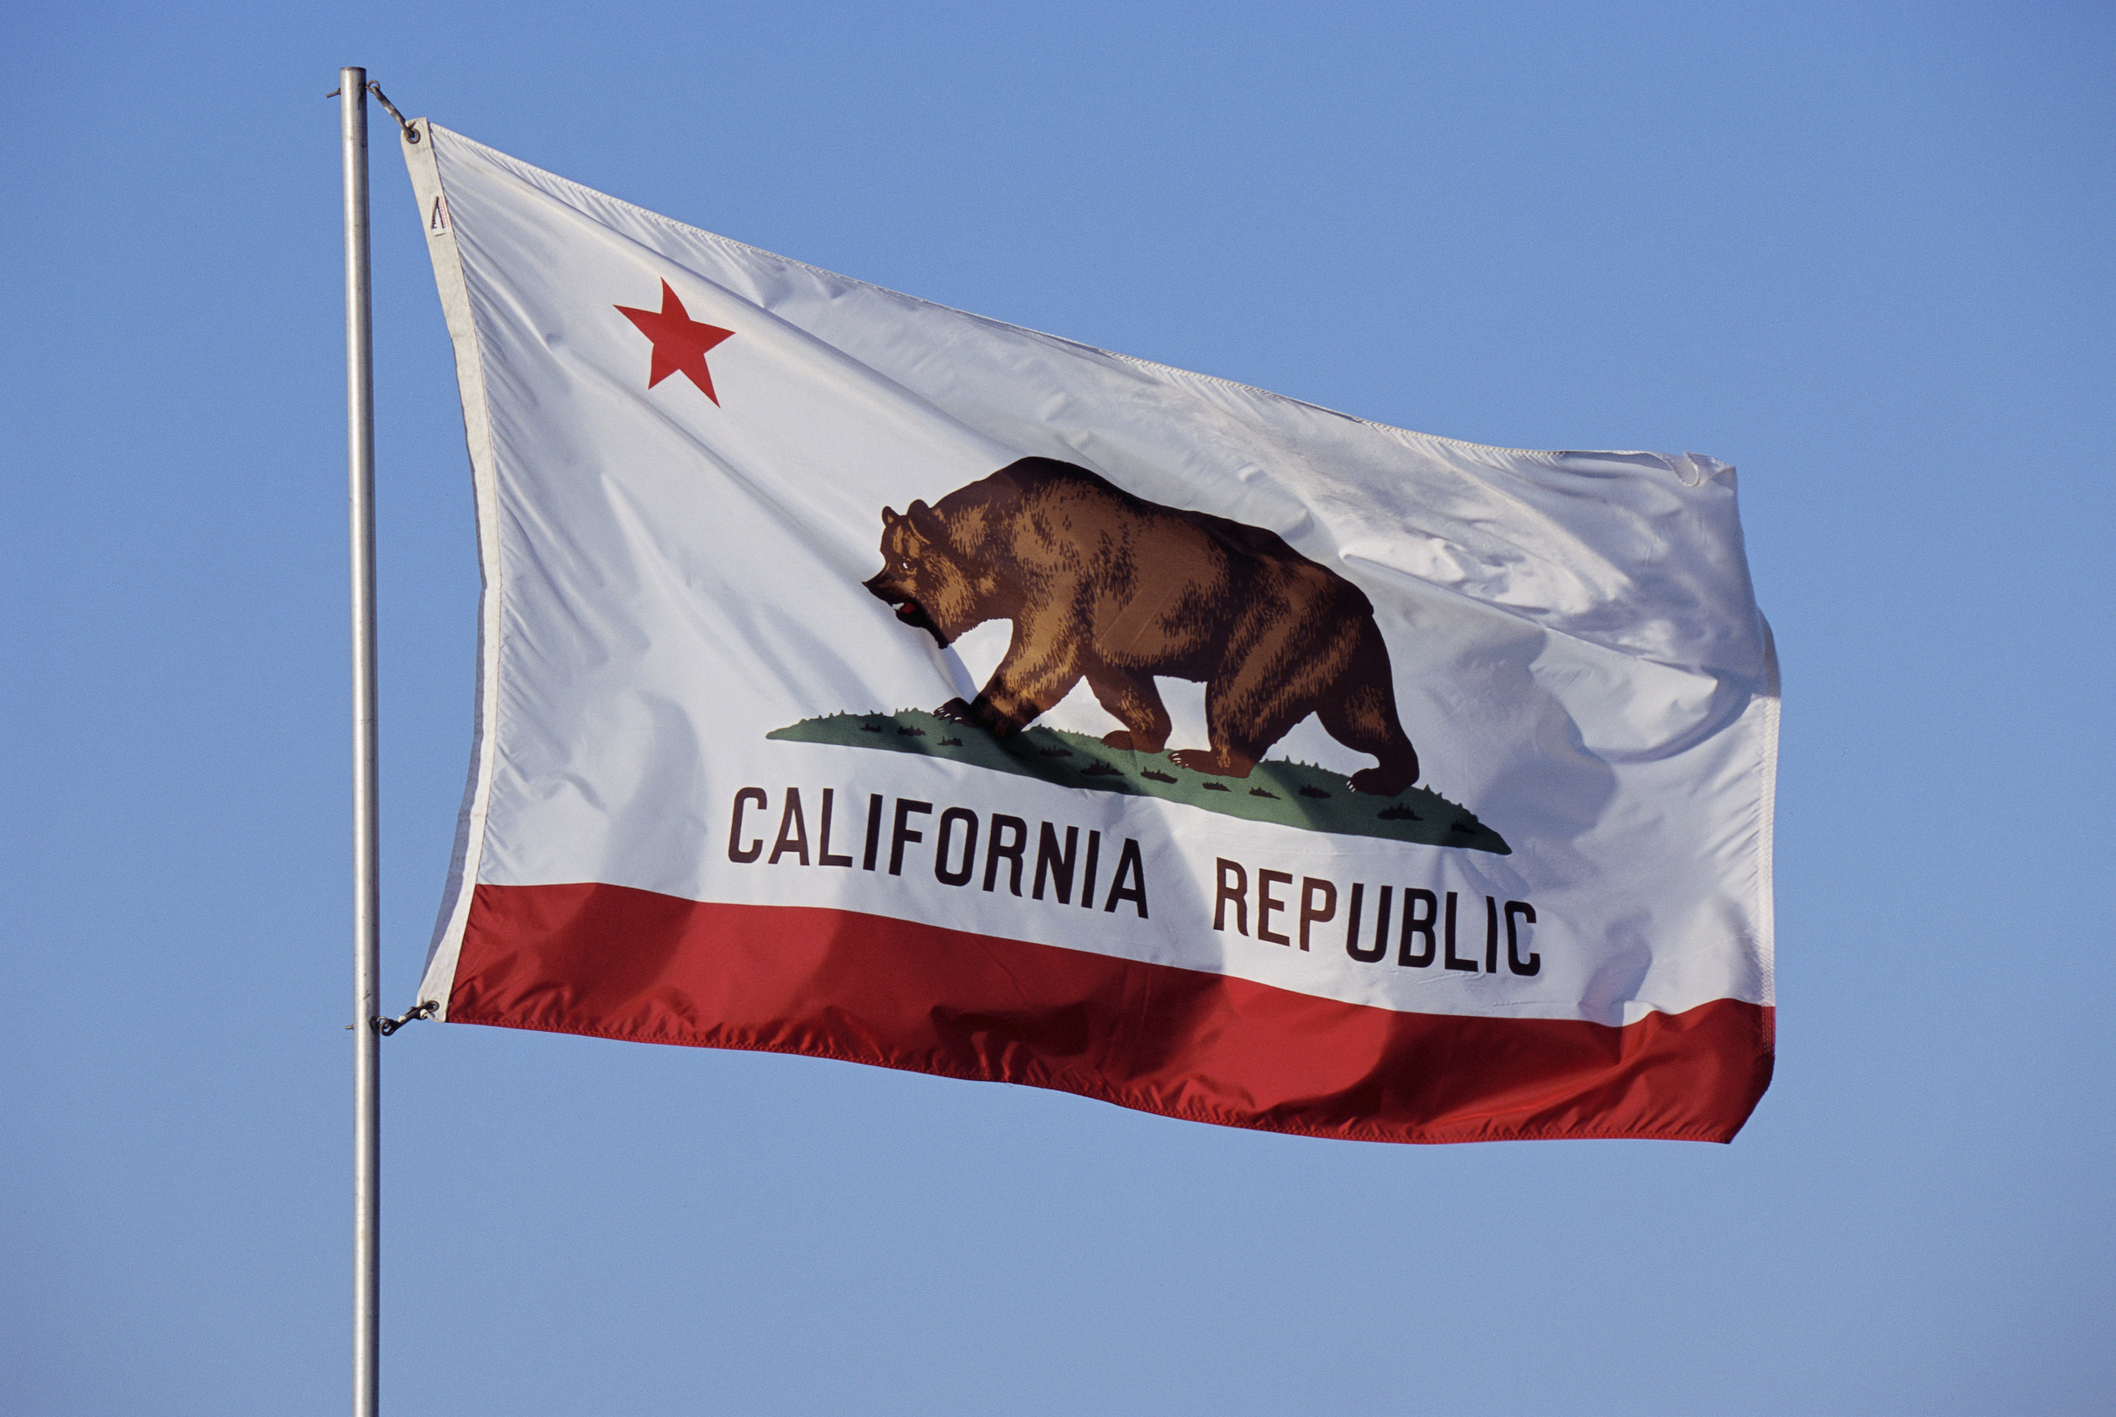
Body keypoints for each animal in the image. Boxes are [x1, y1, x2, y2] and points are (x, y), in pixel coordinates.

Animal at [859, 463, 1421, 799]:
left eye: (905, 562)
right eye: (887, 554)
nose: (872, 584)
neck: (1000, 545)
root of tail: (1361, 601)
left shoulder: (1061, 585)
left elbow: (1039, 658)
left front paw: (964, 709)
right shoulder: (1107, 635)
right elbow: (1119, 684)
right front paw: (1137, 733)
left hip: (1277, 631)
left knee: (1238, 699)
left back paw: (1207, 758)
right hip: (1345, 660)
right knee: (1362, 718)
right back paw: (1383, 775)